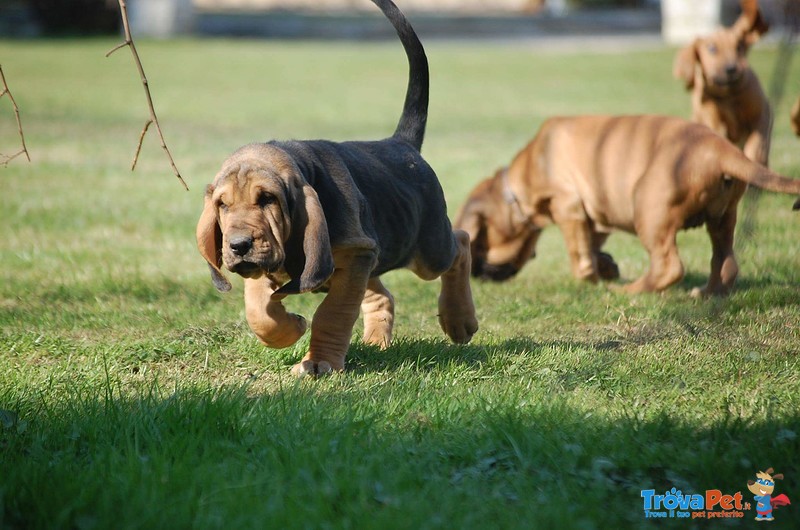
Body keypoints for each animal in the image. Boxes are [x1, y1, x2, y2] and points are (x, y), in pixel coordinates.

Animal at [197, 0, 478, 376]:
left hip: (425, 251)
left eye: (267, 198)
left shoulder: (355, 254)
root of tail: (401, 143)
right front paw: (289, 328)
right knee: (382, 294)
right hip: (374, 253)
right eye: (222, 206)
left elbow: (333, 313)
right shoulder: (280, 266)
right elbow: (259, 310)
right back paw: (376, 340)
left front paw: (320, 362)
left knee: (460, 243)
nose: (239, 246)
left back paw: (459, 321)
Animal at [454, 115, 800, 294]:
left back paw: (631, 291)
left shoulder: (568, 206)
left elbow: (579, 254)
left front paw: (590, 279)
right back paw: (706, 293)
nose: (475, 276)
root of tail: (719, 149)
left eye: (480, 246)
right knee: (725, 262)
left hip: (648, 208)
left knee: (668, 267)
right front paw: (605, 268)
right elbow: (592, 247)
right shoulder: (593, 214)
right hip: (723, 217)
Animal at [672, 0, 772, 164]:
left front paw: (756, 159)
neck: (728, 95)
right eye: (712, 48)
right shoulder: (715, 123)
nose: (732, 69)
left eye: (739, 47)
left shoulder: (763, 114)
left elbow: (757, 144)